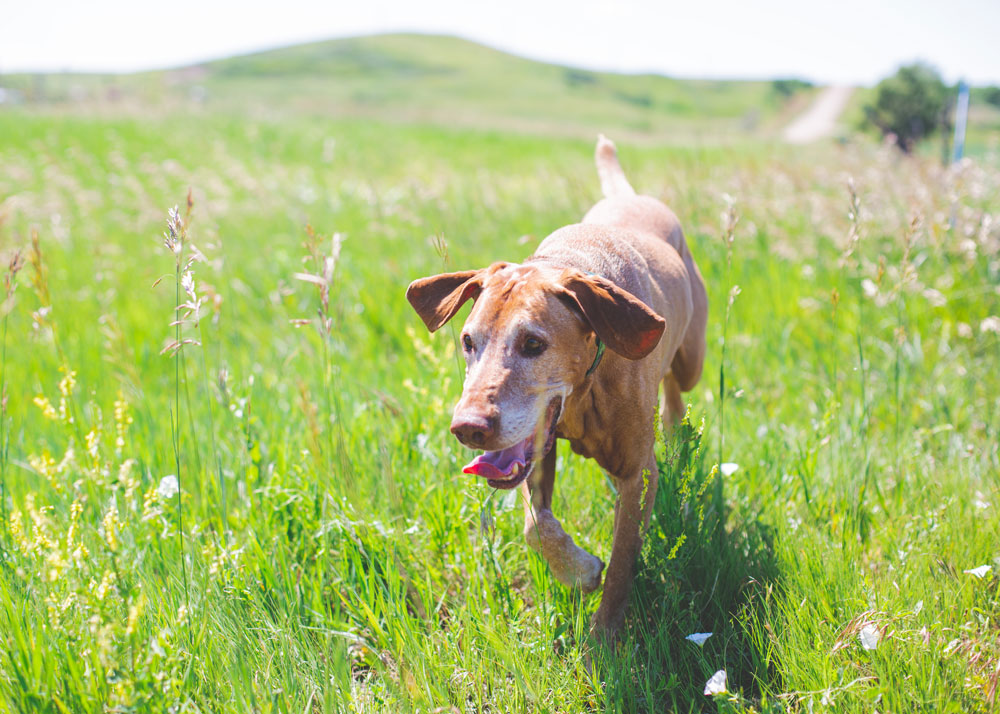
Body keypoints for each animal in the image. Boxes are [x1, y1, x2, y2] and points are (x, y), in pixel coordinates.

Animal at [402, 135, 708, 636]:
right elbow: (535, 525)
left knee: (676, 389)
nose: (468, 428)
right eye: (468, 342)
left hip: (691, 358)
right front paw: (579, 569)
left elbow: (622, 563)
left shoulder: (637, 472)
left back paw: (676, 430)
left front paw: (603, 641)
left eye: (533, 343)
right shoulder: (534, 453)